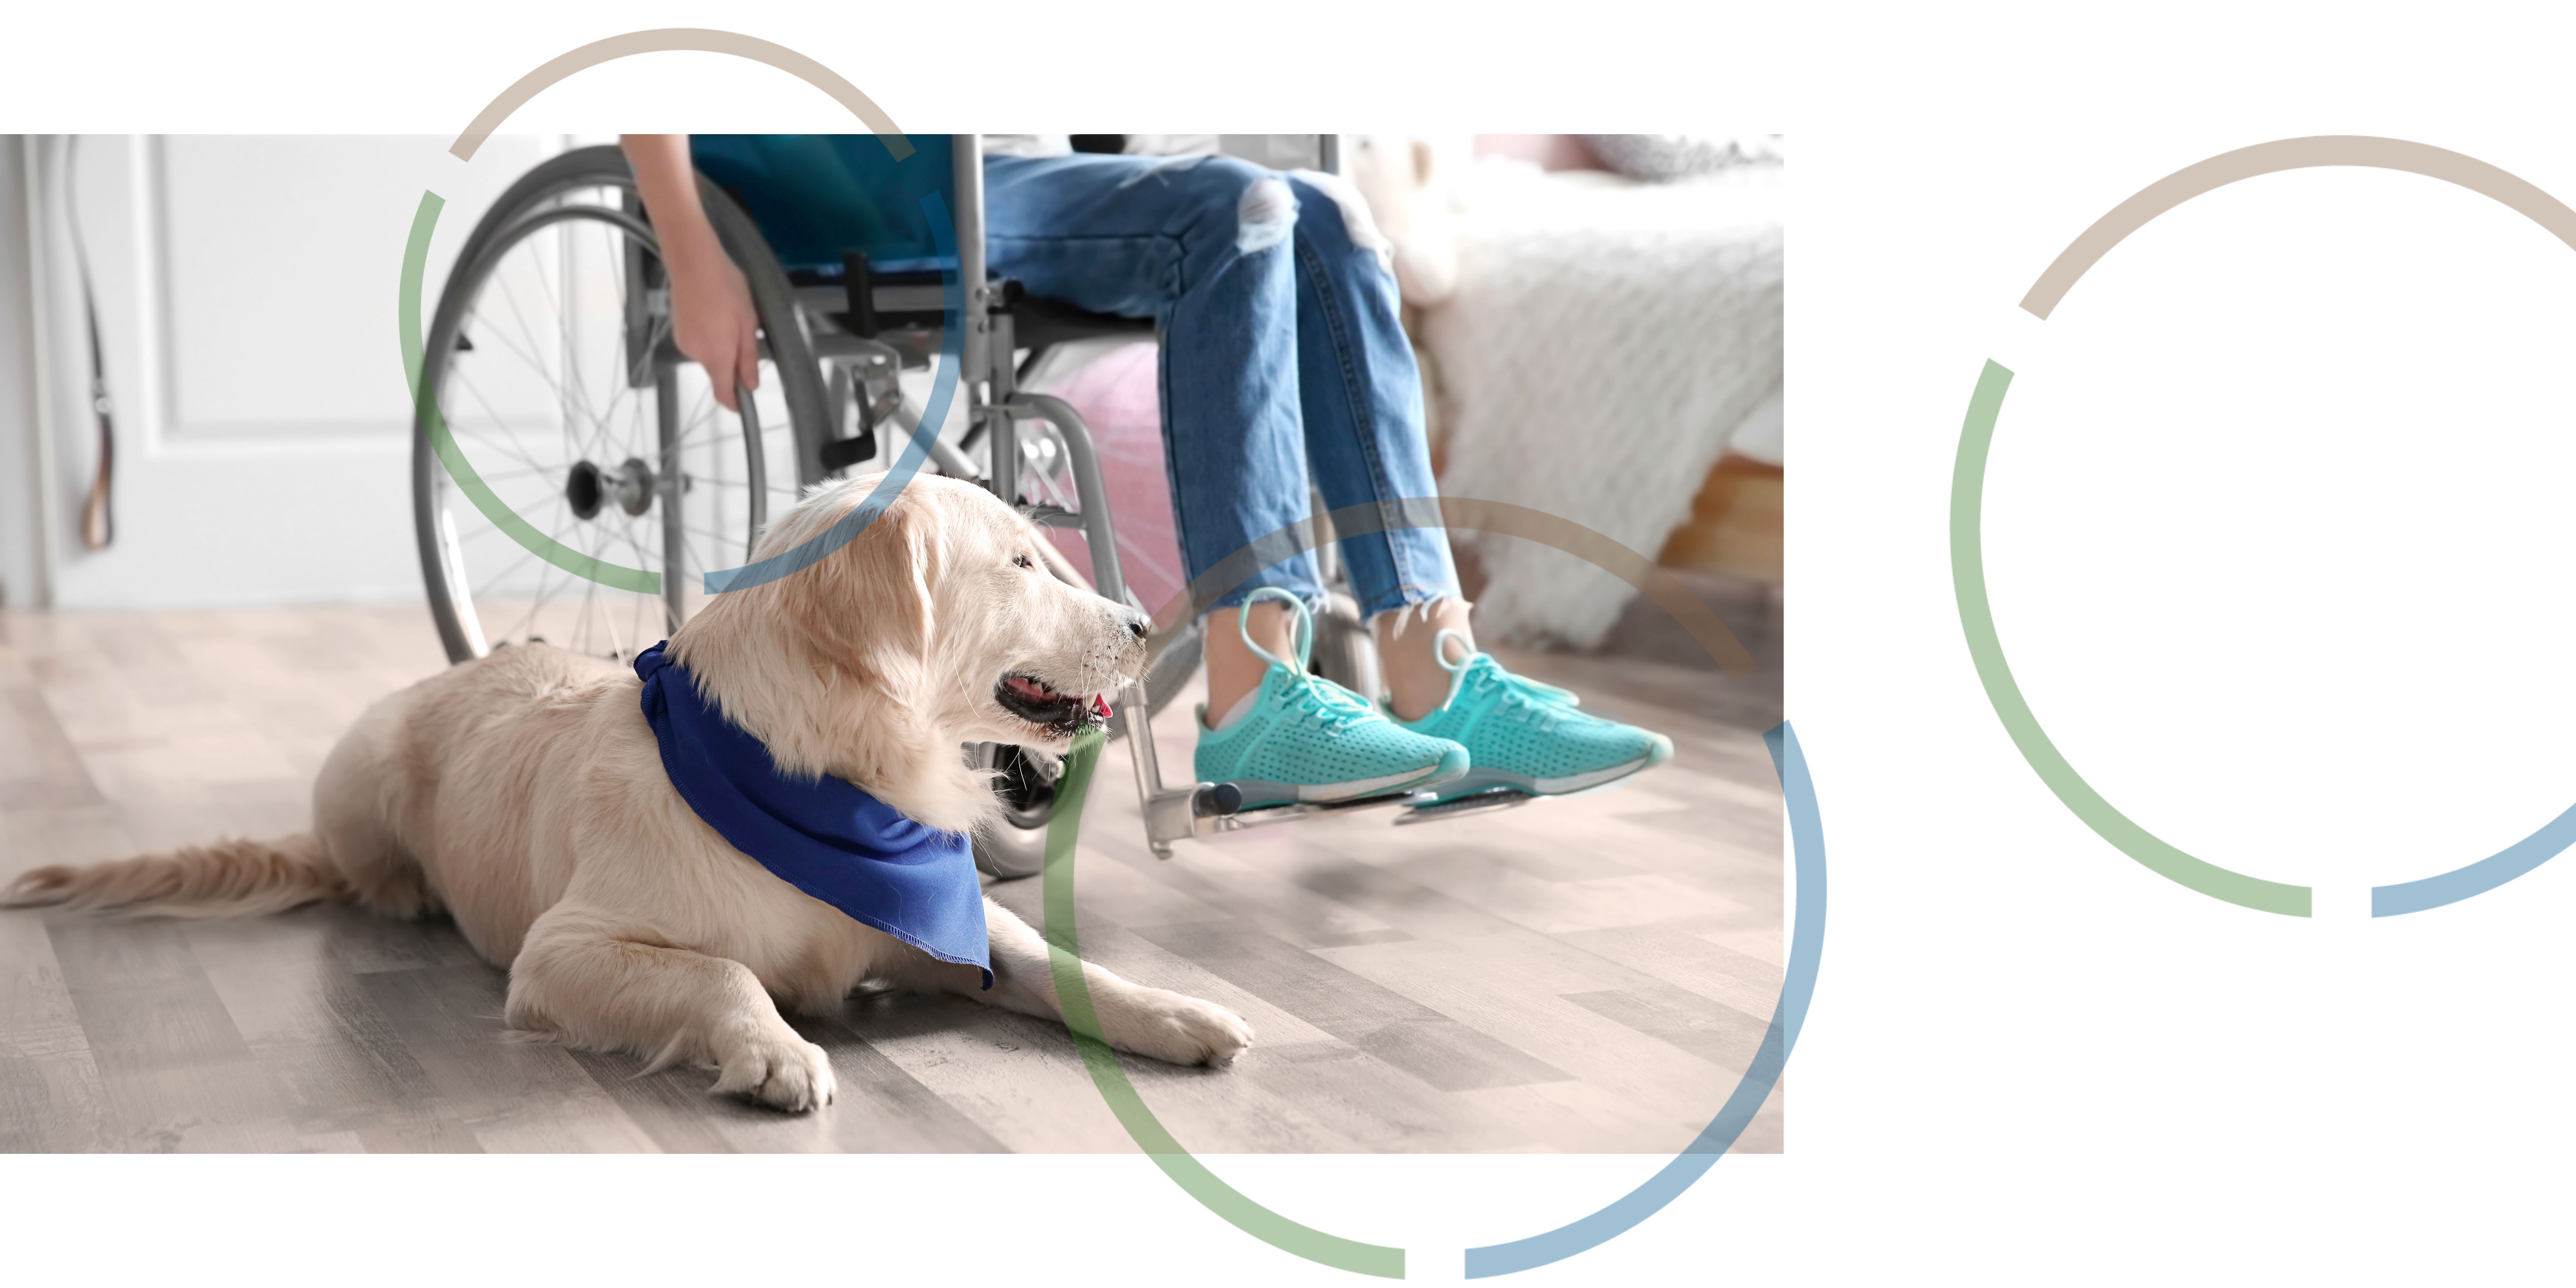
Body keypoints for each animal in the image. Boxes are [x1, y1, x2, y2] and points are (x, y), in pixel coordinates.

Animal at [7, 474, 1257, 1108]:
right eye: (1018, 562)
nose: (1143, 626)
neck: (833, 776)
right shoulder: (562, 952)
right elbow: (718, 971)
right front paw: (775, 1053)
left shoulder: (943, 916)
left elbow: (1059, 961)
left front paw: (1178, 1014)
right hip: (359, 761)